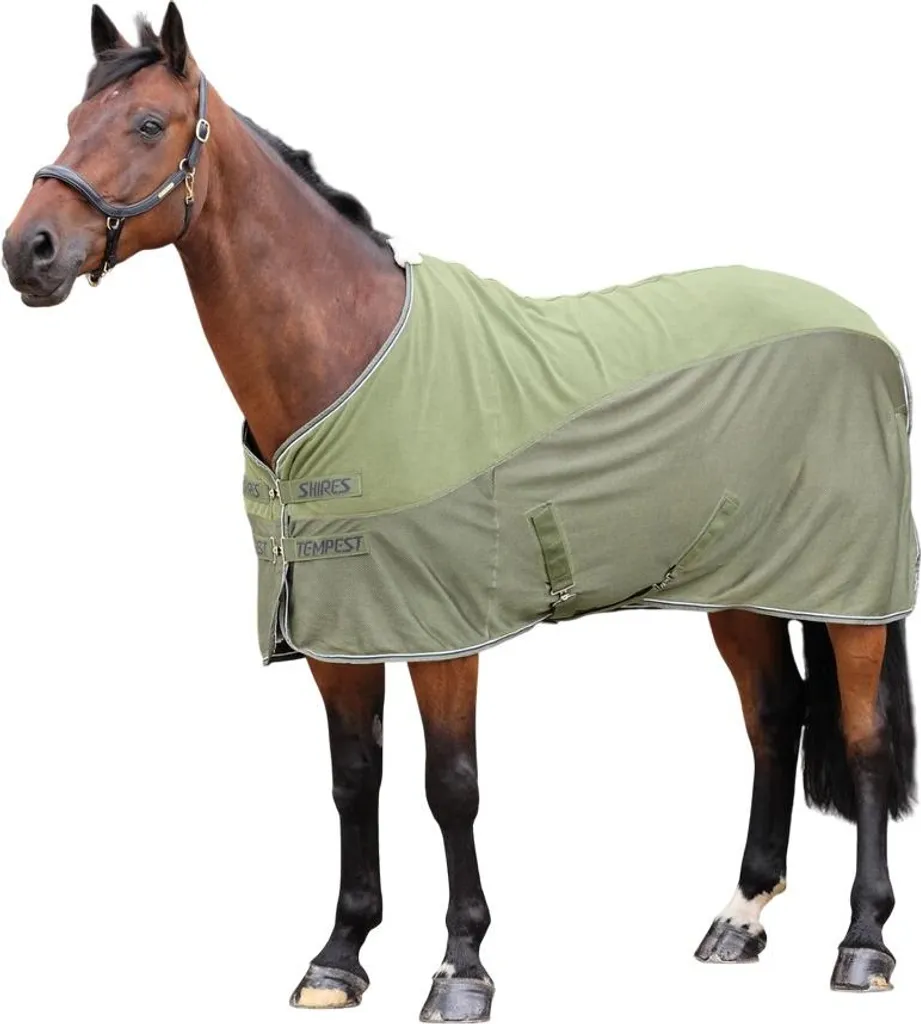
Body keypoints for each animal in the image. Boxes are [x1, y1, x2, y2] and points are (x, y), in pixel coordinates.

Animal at [3, 5, 917, 1019]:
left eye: (148, 125)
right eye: (71, 120)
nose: (29, 250)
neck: (351, 363)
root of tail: (867, 332)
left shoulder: (443, 634)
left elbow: (451, 786)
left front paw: (461, 965)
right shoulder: (339, 633)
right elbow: (353, 781)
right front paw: (339, 955)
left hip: (847, 593)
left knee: (864, 739)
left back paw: (862, 944)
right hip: (739, 585)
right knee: (774, 716)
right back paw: (739, 919)